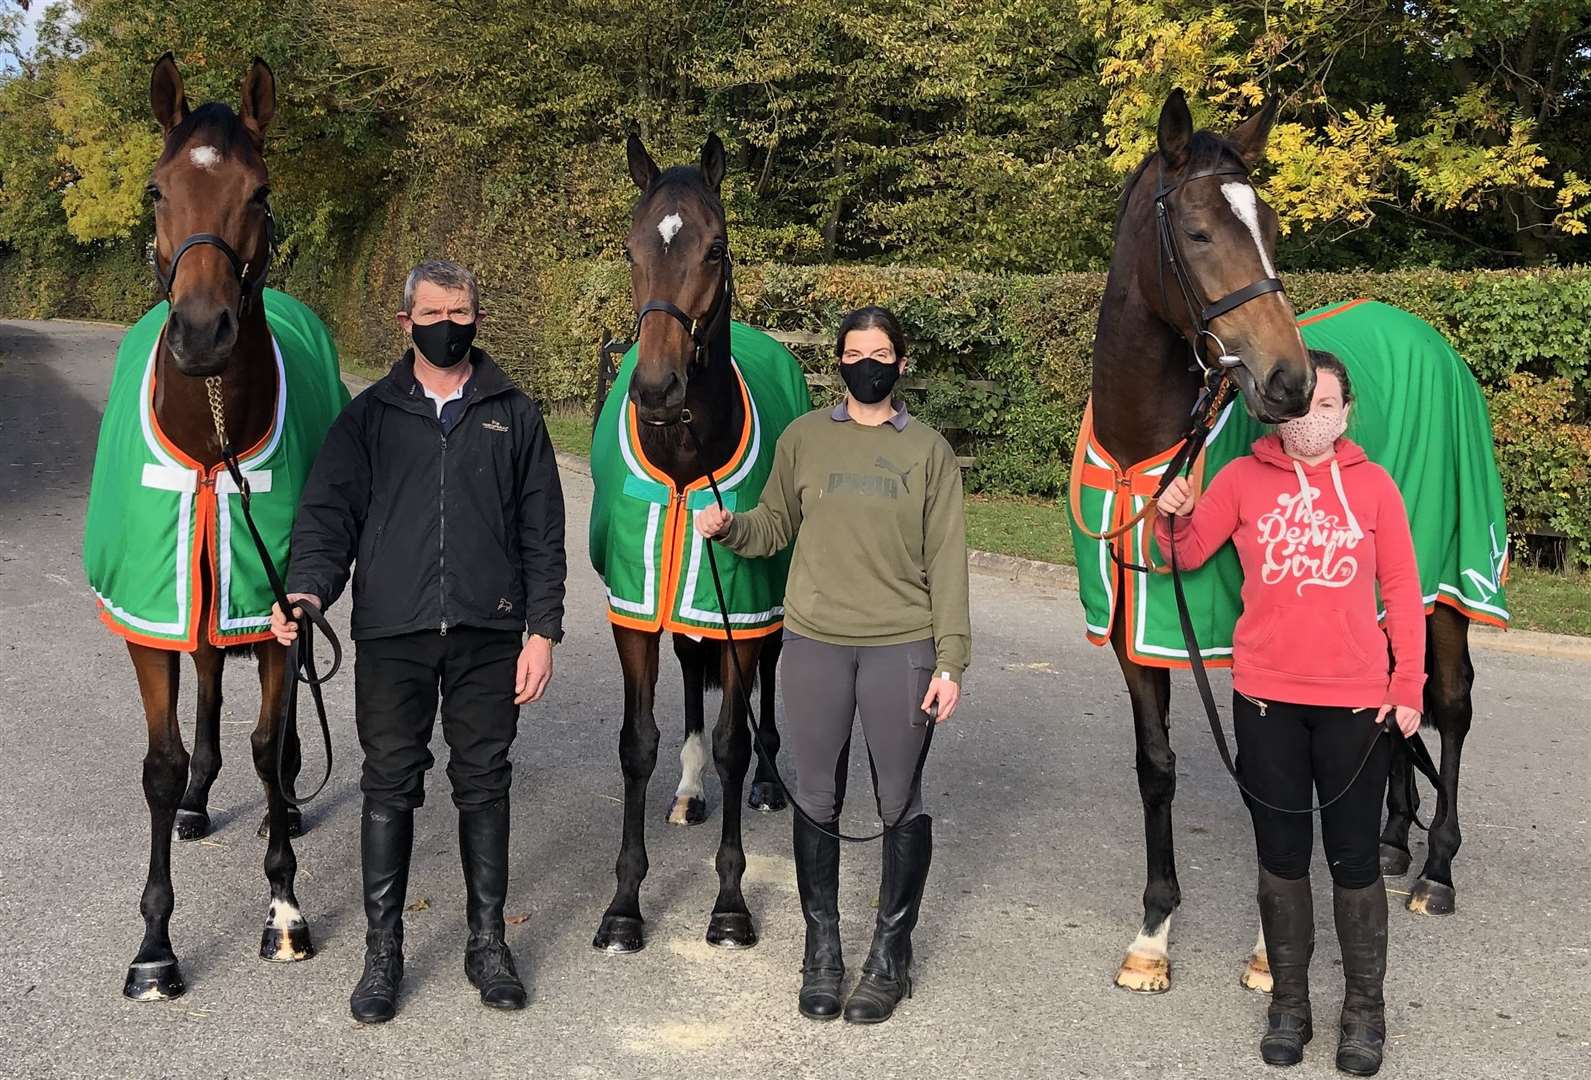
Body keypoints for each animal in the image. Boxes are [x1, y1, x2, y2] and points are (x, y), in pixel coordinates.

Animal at [1088, 93, 1470, 998]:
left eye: (1268, 225)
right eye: (1197, 232)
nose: (1290, 383)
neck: (1148, 450)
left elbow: (1275, 785)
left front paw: (1269, 952)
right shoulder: (1132, 634)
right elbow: (1156, 766)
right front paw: (1153, 934)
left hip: (1444, 585)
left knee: (1447, 707)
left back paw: (1434, 870)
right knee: (1392, 712)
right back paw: (1391, 841)